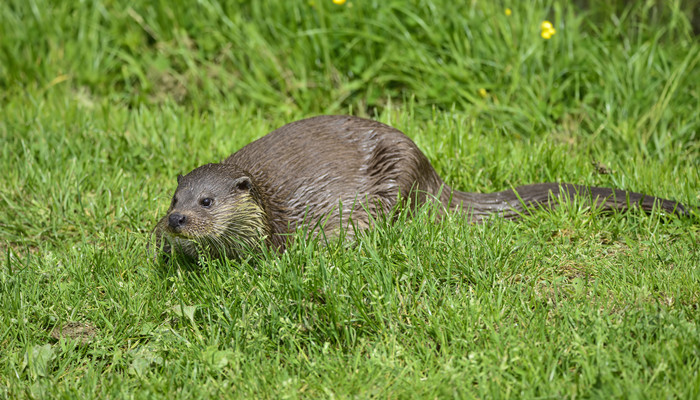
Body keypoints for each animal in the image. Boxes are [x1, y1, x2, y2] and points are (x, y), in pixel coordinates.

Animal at [153, 115, 688, 260]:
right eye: (175, 198)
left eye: (207, 201)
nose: (176, 220)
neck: (267, 209)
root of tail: (433, 176)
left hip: (397, 178)